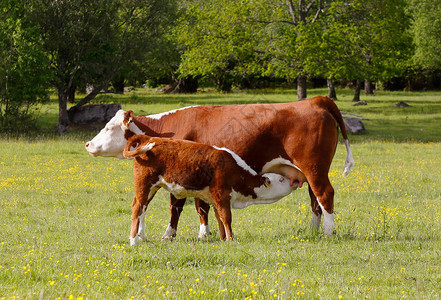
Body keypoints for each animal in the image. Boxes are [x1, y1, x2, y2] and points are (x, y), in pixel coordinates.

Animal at [122, 135, 298, 245]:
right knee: (137, 208)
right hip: (144, 185)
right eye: (281, 179)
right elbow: (226, 218)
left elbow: (219, 218)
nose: (295, 181)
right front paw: (232, 239)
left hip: (151, 188)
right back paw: (133, 241)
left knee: (143, 209)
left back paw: (142, 237)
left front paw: (223, 239)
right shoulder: (222, 195)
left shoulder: (215, 199)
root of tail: (150, 138)